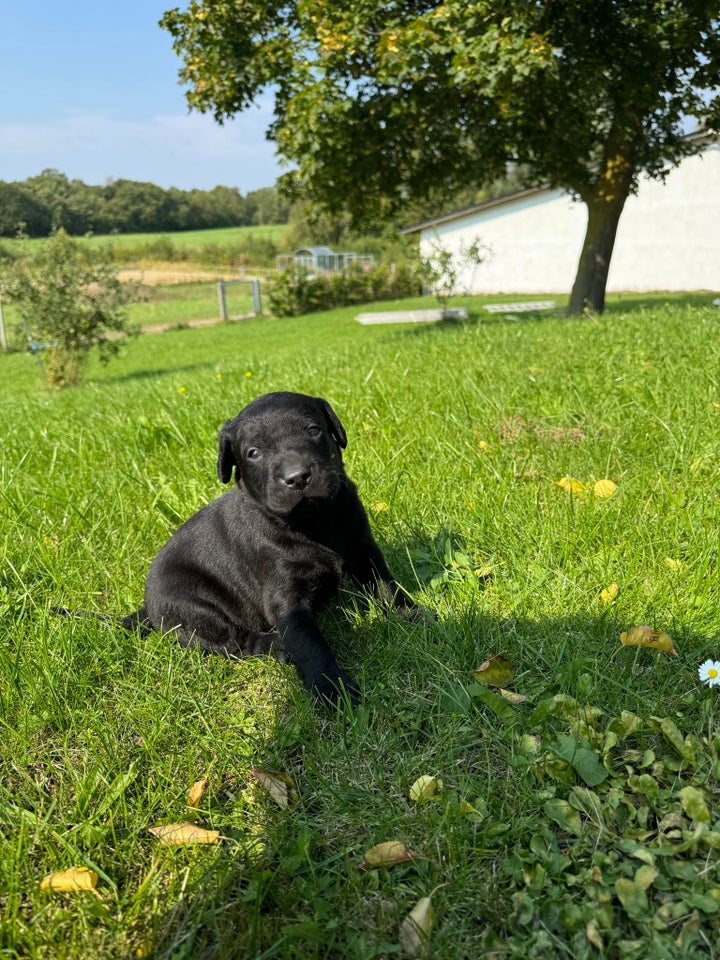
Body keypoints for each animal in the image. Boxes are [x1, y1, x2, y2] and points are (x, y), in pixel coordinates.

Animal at [59, 392, 420, 704]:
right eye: (253, 453)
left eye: (314, 430)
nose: (297, 477)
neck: (314, 521)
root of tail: (147, 608)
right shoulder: (284, 597)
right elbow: (309, 644)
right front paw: (333, 690)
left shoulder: (363, 550)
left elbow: (387, 587)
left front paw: (414, 617)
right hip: (193, 605)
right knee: (234, 641)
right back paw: (276, 646)